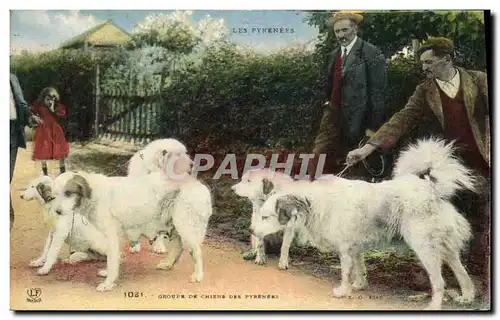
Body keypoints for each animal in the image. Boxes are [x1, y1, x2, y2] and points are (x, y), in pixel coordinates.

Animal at [52, 141, 211, 292]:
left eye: (68, 193)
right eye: (55, 195)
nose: (57, 212)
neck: (94, 193)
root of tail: (198, 184)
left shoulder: (112, 236)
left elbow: (112, 260)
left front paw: (108, 283)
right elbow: (114, 258)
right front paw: (108, 274)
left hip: (184, 225)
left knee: (196, 250)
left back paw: (198, 275)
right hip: (175, 224)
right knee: (179, 246)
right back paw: (167, 264)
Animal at [252, 138, 478, 310]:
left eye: (266, 217)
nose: (252, 232)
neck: (313, 202)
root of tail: (431, 189)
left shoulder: (345, 249)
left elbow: (345, 272)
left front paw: (343, 291)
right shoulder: (355, 247)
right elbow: (359, 267)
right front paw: (359, 285)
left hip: (425, 248)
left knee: (440, 282)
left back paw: (434, 306)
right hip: (447, 249)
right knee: (463, 274)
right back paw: (466, 297)